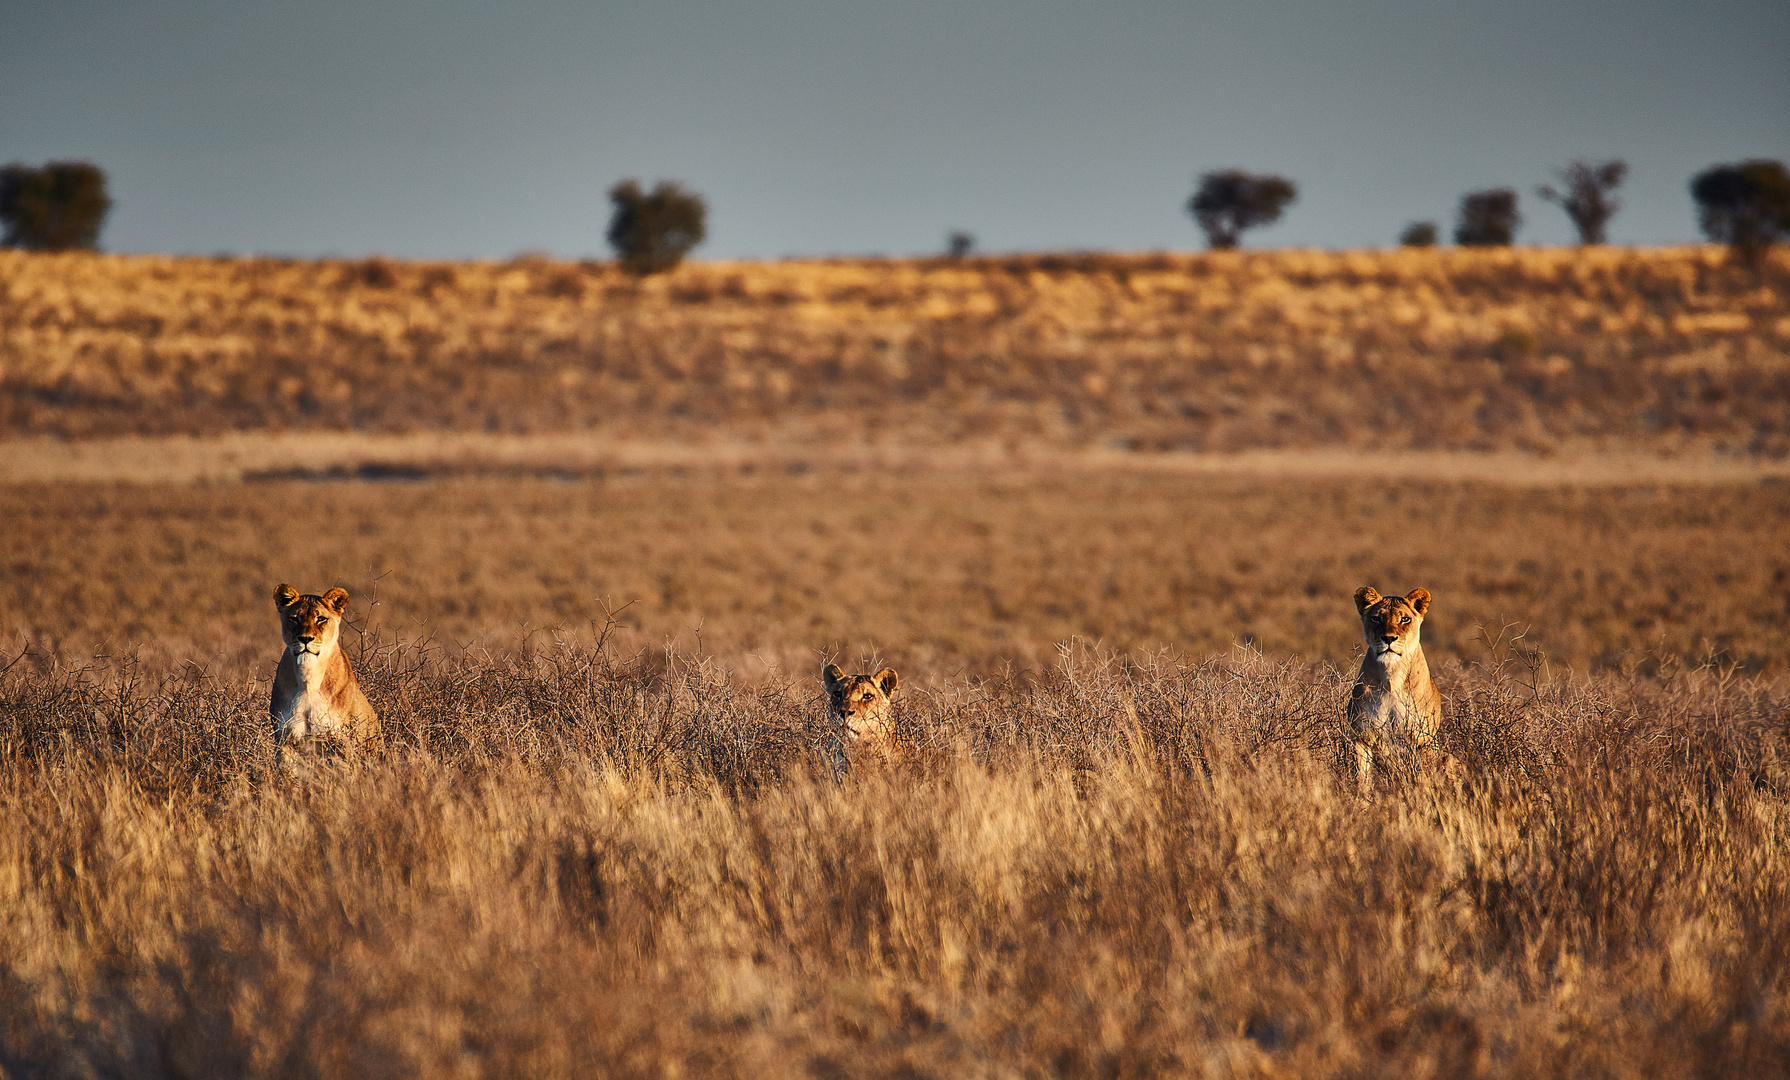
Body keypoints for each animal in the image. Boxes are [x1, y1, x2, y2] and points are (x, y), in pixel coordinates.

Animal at [270, 587, 379, 755]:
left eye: (321, 619)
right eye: (294, 619)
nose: (305, 639)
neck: (308, 679)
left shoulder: (341, 740)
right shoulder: (285, 739)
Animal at [1346, 587, 1446, 798]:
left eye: (1405, 619)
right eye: (1376, 618)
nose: (1389, 638)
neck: (1392, 676)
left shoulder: (1422, 738)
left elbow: (1423, 780)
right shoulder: (1362, 735)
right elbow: (1362, 778)